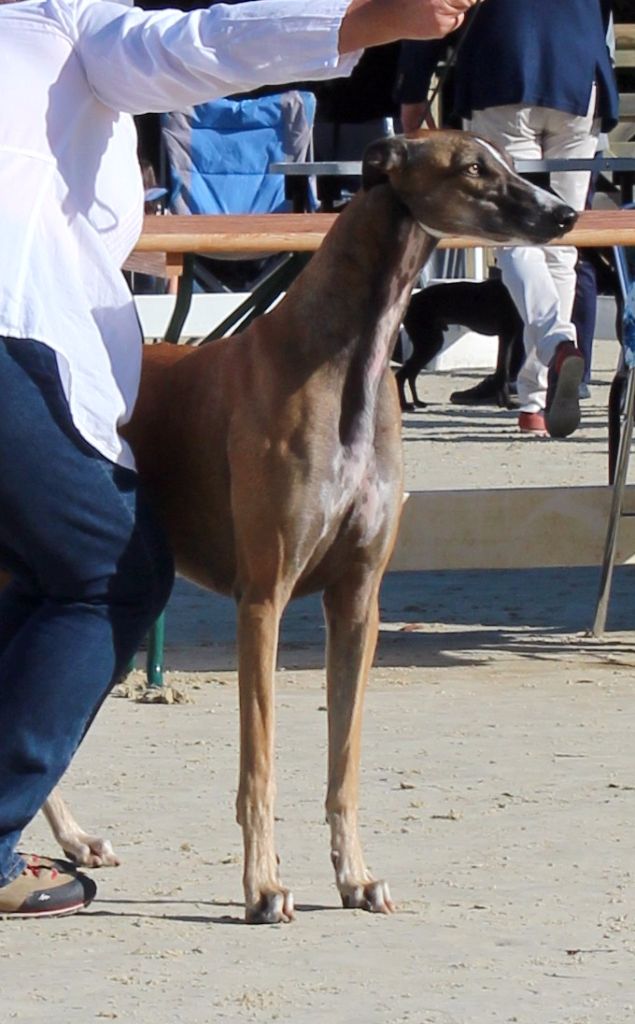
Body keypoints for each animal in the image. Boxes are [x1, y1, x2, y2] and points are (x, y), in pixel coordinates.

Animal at [395, 280, 524, 411]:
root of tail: (411, 300)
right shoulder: (507, 334)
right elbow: (503, 371)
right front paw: (507, 403)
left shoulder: (509, 336)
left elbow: (502, 370)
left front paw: (502, 403)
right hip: (429, 343)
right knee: (401, 374)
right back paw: (404, 405)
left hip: (429, 343)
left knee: (411, 374)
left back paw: (417, 402)